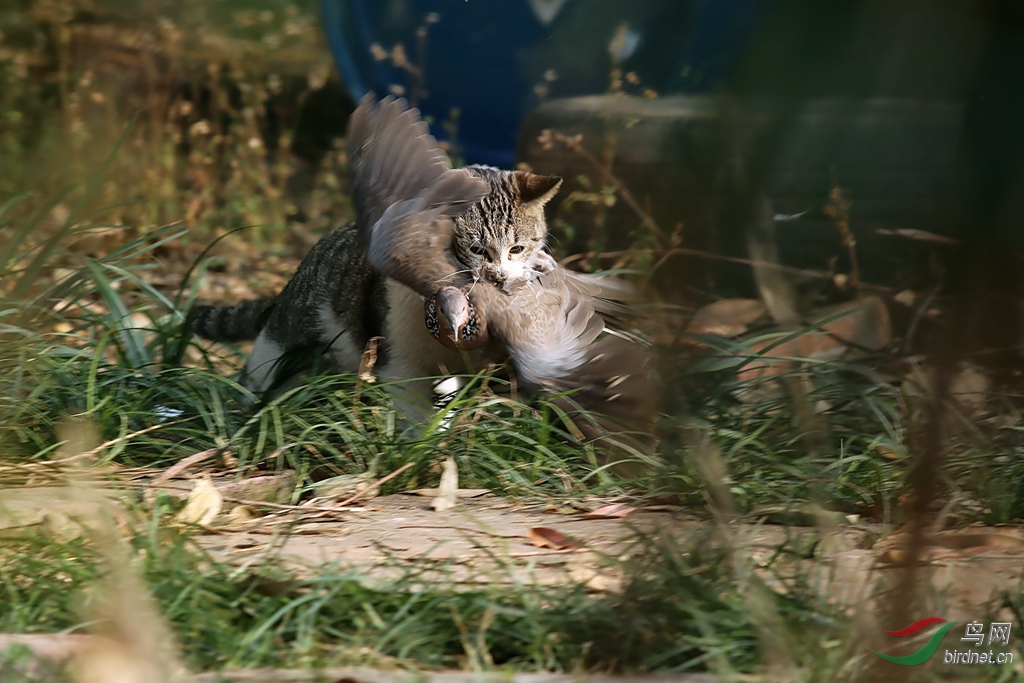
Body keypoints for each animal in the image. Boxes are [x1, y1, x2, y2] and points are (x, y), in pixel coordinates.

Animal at [192, 163, 561, 417]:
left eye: (516, 249)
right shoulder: (399, 361)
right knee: (260, 368)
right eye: (474, 249)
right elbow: (414, 413)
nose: (498, 277)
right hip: (286, 333)